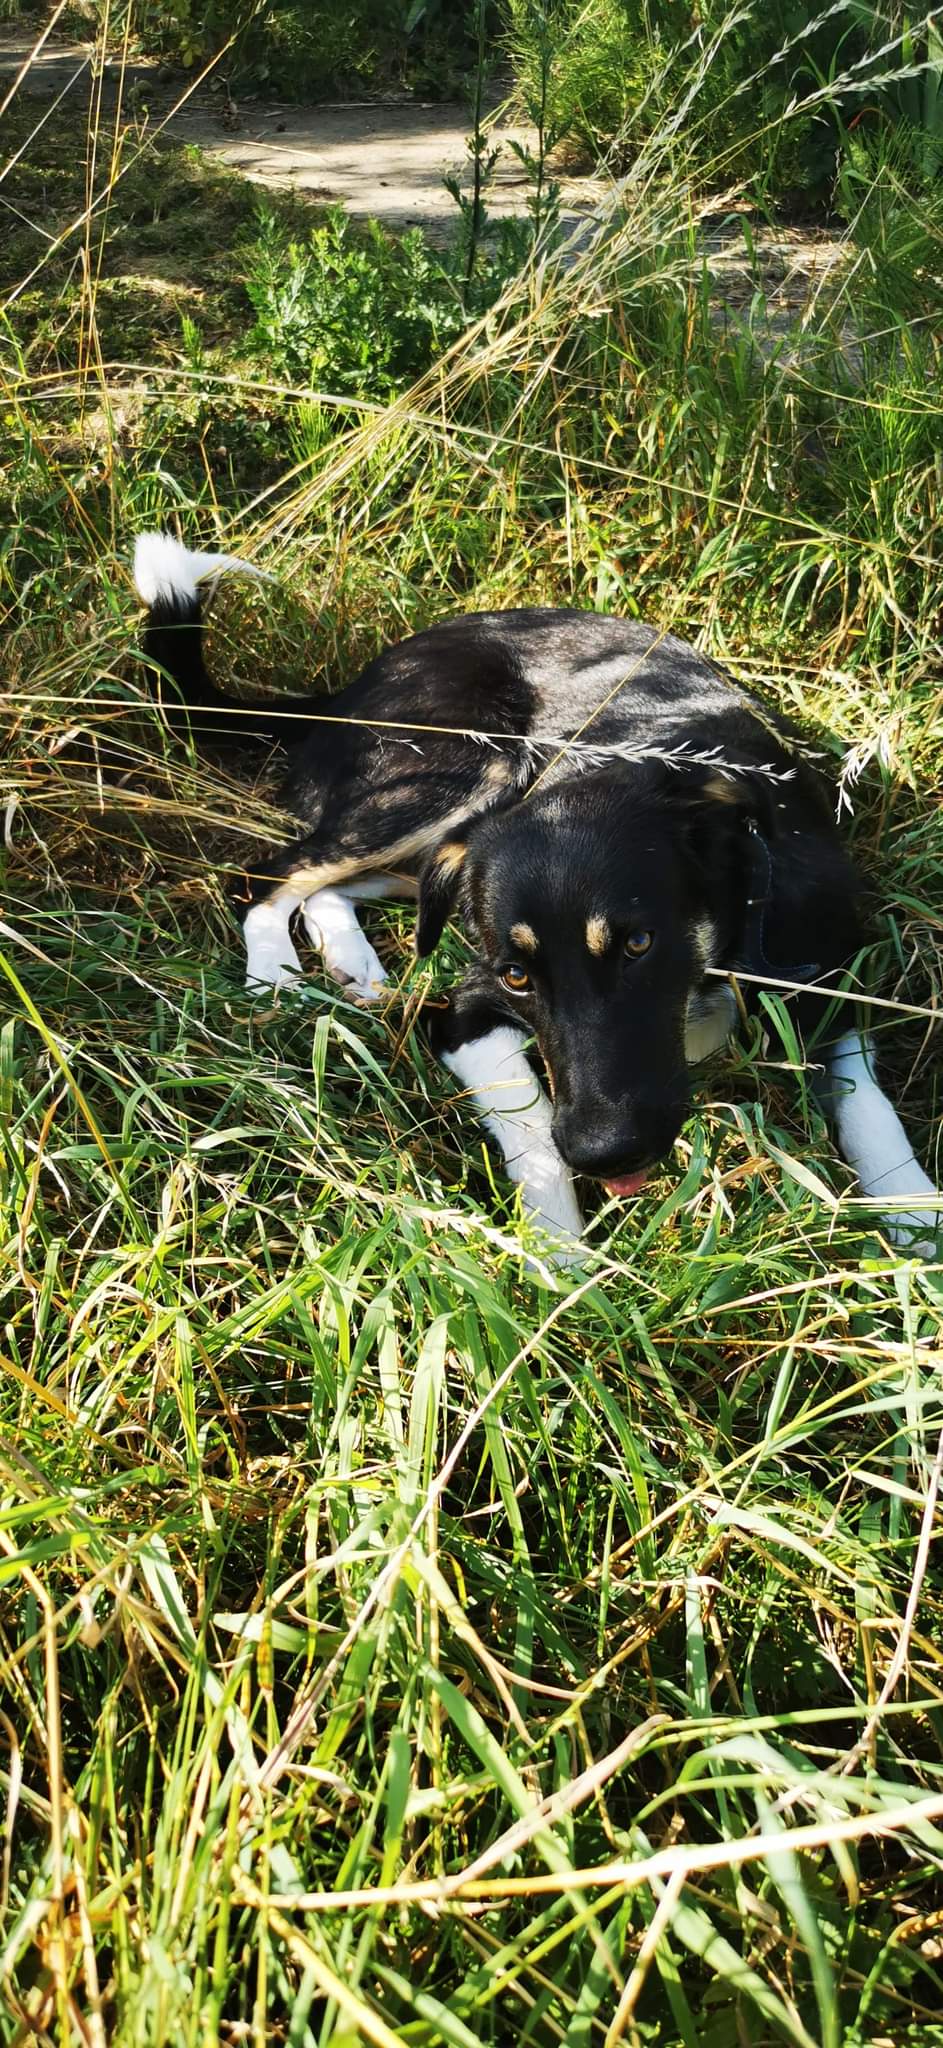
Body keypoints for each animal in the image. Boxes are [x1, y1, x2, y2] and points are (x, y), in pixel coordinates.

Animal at [130, 528, 934, 1253]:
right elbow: (530, 1129)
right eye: (517, 975)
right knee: (272, 873)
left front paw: (912, 1208)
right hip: (455, 771)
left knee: (335, 885)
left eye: (639, 943)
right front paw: (563, 1261)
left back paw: (352, 964)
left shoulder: (831, 978)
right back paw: (275, 977)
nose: (603, 1154)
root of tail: (346, 691)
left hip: (450, 824)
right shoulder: (465, 1015)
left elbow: (869, 1104)